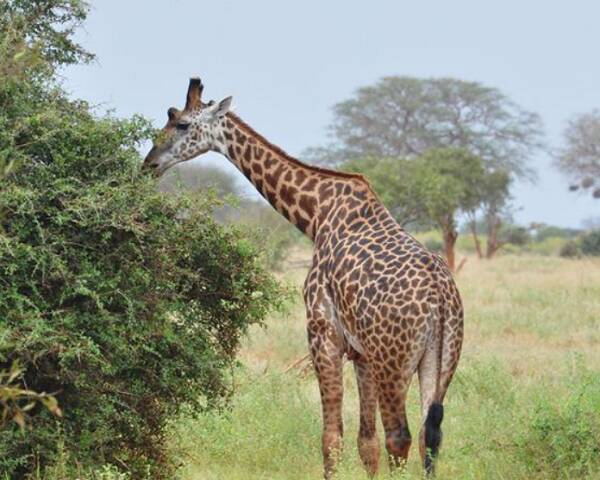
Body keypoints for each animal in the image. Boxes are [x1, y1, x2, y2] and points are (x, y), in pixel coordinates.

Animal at [144, 78, 464, 476]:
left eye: (182, 124)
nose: (150, 163)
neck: (316, 214)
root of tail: (441, 299)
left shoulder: (323, 334)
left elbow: (331, 438)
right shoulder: (361, 353)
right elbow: (366, 443)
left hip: (394, 362)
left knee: (400, 437)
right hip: (439, 361)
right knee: (427, 437)